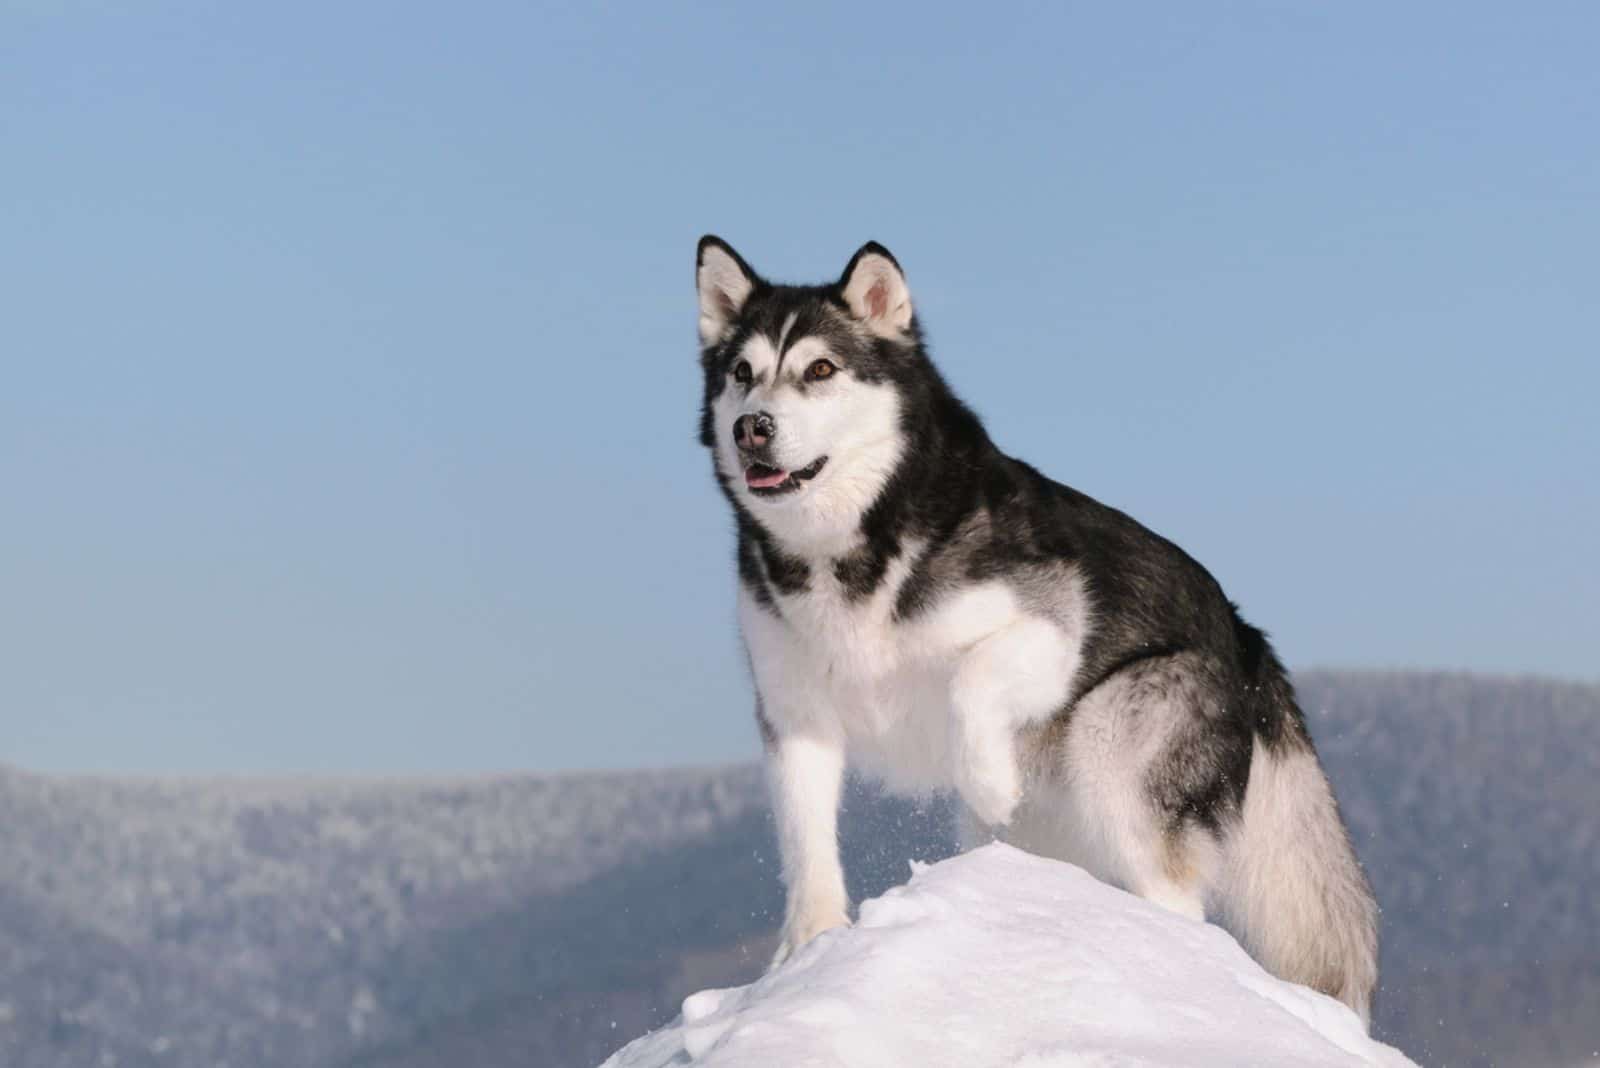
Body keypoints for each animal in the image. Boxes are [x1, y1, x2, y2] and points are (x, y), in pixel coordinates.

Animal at [694, 238, 1382, 1023]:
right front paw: (809, 948)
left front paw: (990, 782)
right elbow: (806, 844)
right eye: (742, 374)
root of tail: (1246, 638)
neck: (851, 545)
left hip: (1112, 741)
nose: (753, 427)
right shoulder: (795, 714)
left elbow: (971, 679)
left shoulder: (1055, 628)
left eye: (819, 370)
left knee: (1173, 898)